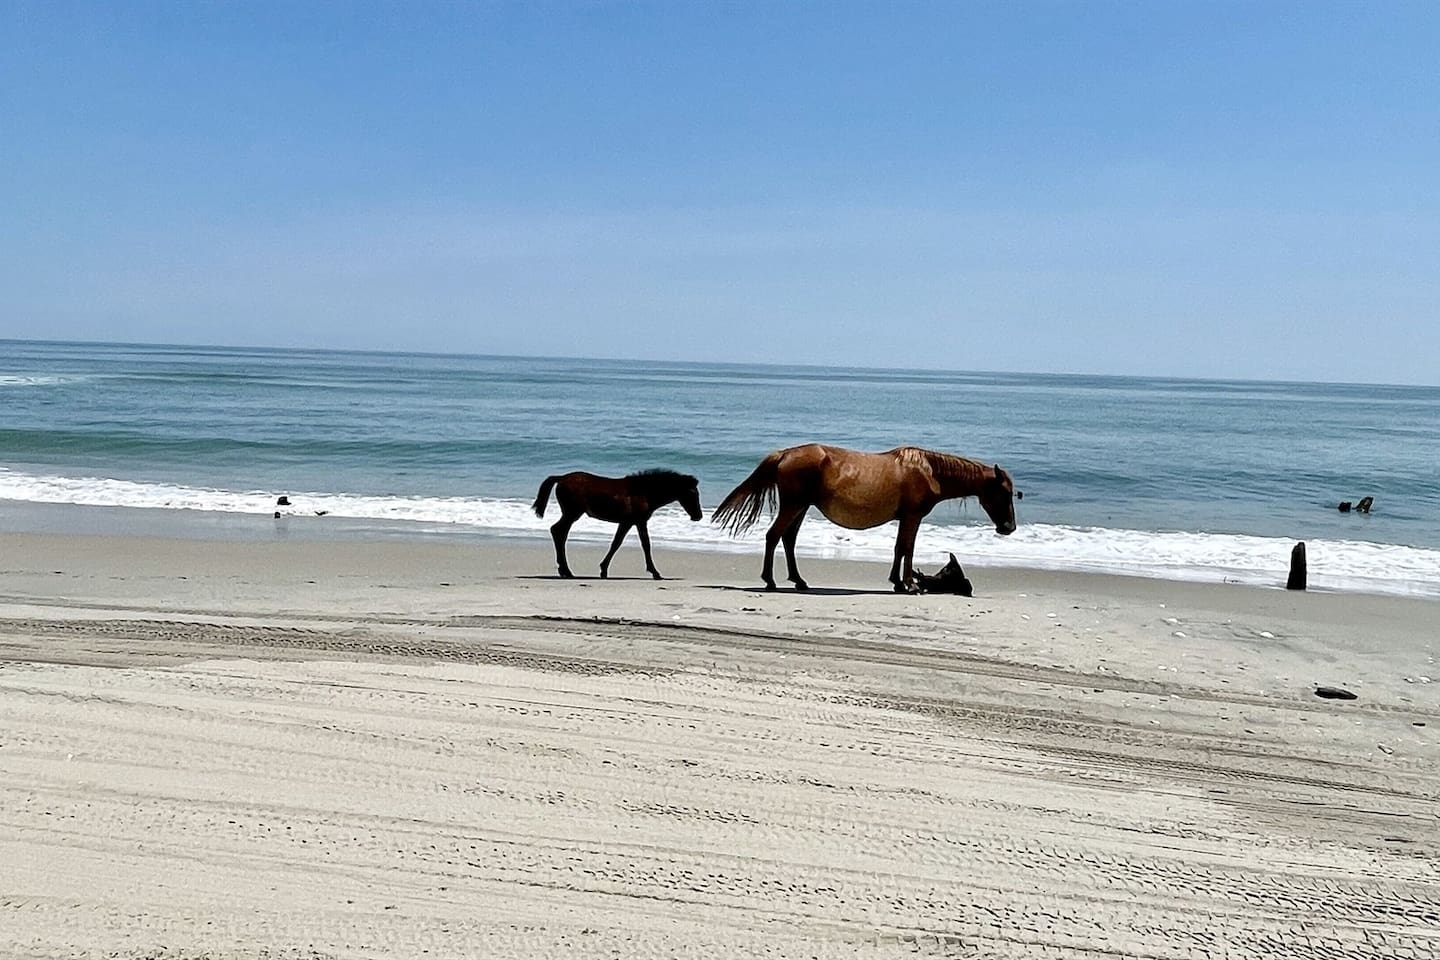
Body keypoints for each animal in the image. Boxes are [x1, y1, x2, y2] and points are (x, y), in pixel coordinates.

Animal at [532, 469, 703, 580]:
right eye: (692, 493)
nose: (698, 516)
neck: (643, 491)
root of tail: (561, 478)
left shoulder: (627, 523)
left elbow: (616, 543)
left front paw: (603, 570)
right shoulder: (638, 521)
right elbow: (645, 544)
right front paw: (655, 573)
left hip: (571, 514)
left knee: (559, 532)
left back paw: (565, 570)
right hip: (572, 513)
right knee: (558, 532)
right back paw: (566, 571)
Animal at [711, 444, 1020, 593]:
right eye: (1004, 492)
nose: (1009, 527)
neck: (928, 471)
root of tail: (785, 453)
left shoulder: (905, 517)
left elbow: (899, 548)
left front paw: (897, 582)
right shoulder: (913, 516)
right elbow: (908, 548)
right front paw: (910, 585)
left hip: (801, 506)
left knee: (788, 539)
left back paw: (798, 580)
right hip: (794, 504)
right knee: (774, 536)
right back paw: (770, 581)